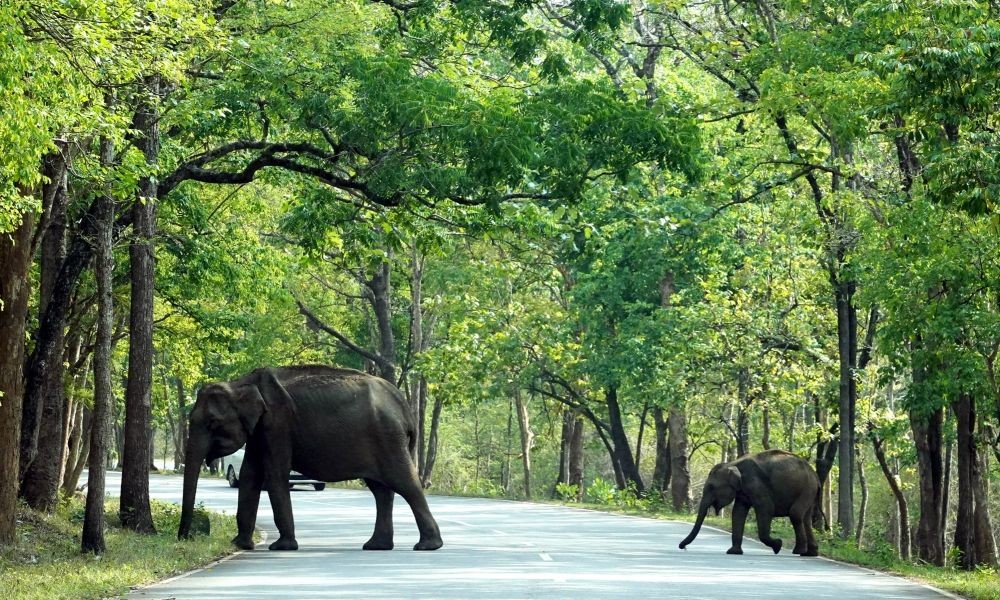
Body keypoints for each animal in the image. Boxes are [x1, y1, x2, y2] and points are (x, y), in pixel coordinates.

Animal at [177, 365, 443, 552]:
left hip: (388, 438)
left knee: (405, 483)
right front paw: (240, 544)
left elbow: (275, 474)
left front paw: (282, 547)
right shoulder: (260, 430)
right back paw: (376, 546)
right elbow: (250, 474)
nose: (184, 539)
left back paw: (427, 546)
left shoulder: (278, 423)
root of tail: (403, 405)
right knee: (381, 491)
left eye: (212, 423)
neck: (241, 383)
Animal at [678, 449, 819, 556]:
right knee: (805, 518)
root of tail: (815, 474)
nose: (682, 547)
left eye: (712, 487)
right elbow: (738, 512)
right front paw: (733, 552)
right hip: (809, 491)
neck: (732, 463)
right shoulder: (742, 491)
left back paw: (798, 551)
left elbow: (766, 509)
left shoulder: (757, 484)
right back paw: (810, 553)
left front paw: (778, 545)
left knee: (795, 514)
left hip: (807, 488)